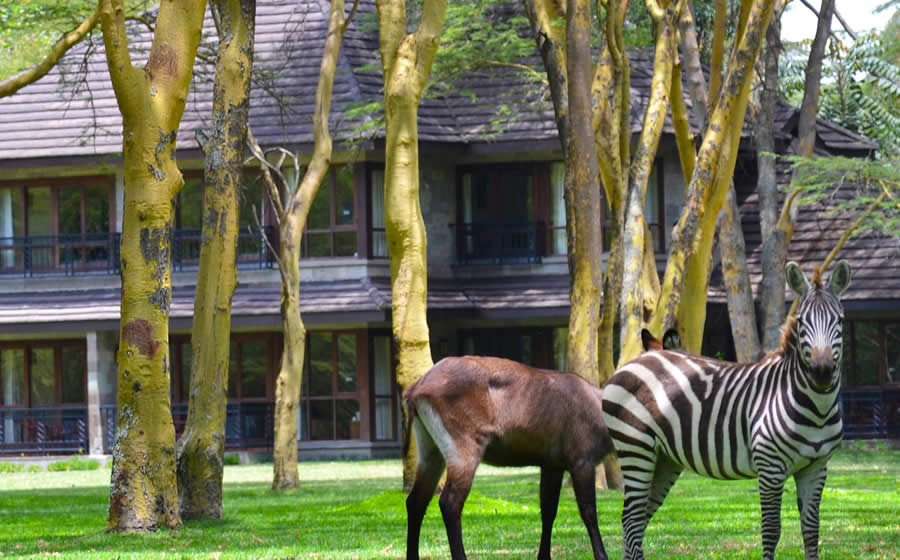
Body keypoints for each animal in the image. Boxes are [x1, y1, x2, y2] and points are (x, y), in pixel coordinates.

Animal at [404, 356, 616, 560]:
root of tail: (417, 388)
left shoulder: (552, 465)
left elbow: (548, 511)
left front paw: (543, 556)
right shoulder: (582, 462)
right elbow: (589, 511)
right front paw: (602, 555)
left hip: (430, 452)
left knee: (415, 501)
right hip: (464, 452)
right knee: (449, 502)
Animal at [604, 260, 852, 556]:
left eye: (840, 320)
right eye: (802, 322)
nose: (822, 372)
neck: (817, 409)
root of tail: (639, 359)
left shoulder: (816, 467)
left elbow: (811, 531)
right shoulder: (770, 467)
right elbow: (771, 531)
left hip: (664, 459)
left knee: (637, 519)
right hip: (635, 448)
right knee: (631, 520)